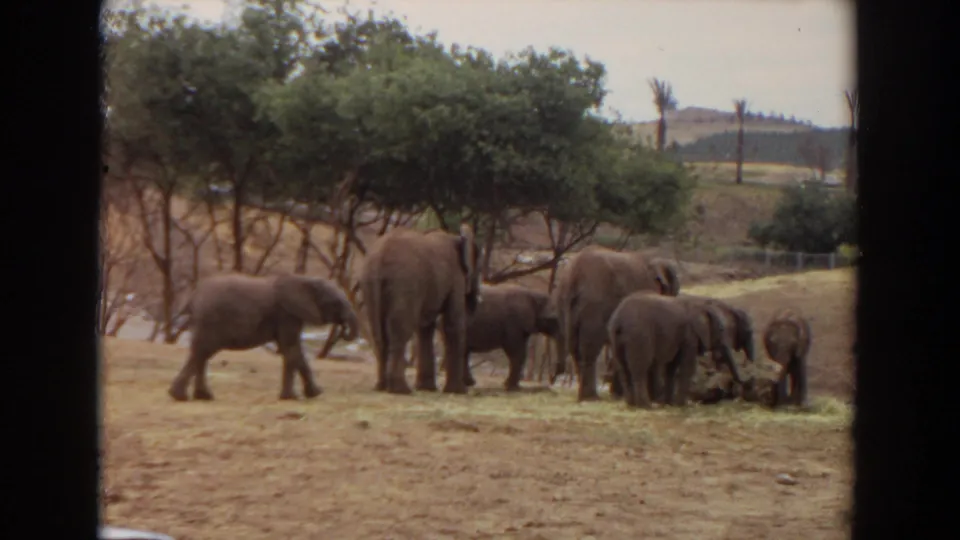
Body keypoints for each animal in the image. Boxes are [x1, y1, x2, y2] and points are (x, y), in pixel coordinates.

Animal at [167, 273, 360, 402]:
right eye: (335, 303)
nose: (344, 328)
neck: (304, 280)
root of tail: (193, 296)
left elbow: (292, 349)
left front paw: (309, 394)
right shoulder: (287, 314)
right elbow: (291, 349)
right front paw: (296, 397)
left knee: (202, 354)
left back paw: (202, 397)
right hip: (210, 319)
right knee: (202, 352)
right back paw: (181, 397)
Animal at [357, 224, 482, 395]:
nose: (471, 383)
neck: (457, 237)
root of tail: (380, 257)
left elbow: (425, 328)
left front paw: (427, 388)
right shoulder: (456, 277)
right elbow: (452, 324)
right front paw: (459, 391)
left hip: (369, 282)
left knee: (378, 332)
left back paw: (381, 387)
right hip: (405, 282)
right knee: (400, 331)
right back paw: (401, 390)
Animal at [552, 245, 681, 401]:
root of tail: (573, 276)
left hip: (563, 305)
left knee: (574, 347)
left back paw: (585, 396)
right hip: (594, 306)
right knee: (589, 348)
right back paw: (592, 397)